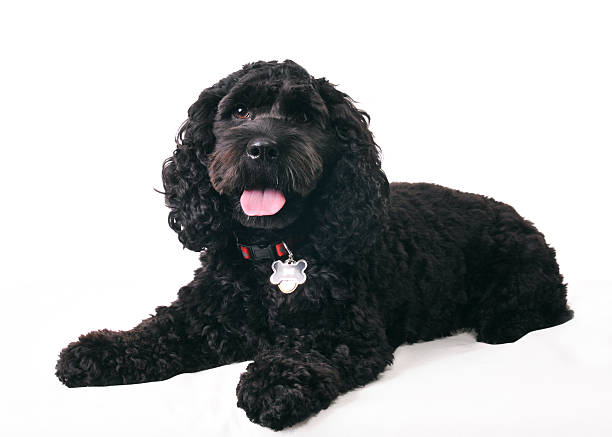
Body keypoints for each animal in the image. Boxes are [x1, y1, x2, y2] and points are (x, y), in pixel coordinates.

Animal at [57, 60, 572, 430]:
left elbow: (302, 353)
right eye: (239, 112)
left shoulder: (346, 332)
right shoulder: (205, 317)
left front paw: (272, 383)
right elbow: (155, 331)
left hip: (522, 278)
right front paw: (99, 349)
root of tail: (520, 216)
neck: (272, 256)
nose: (262, 148)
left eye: (305, 117)